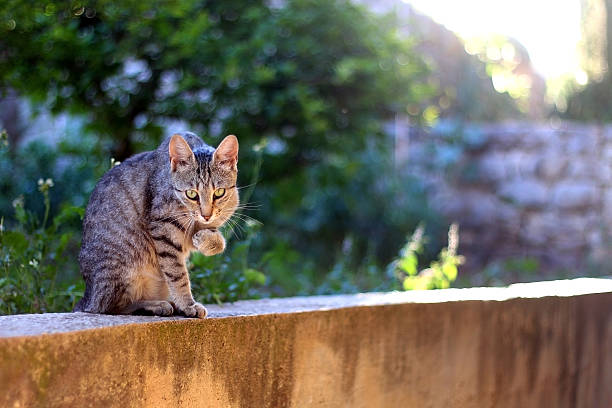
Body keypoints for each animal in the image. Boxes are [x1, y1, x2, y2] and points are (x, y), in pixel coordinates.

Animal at [74, 132, 239, 318]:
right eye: (191, 194)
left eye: (219, 192)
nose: (206, 215)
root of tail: (87, 296)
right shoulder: (164, 231)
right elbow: (177, 275)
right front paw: (188, 304)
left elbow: (217, 241)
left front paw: (206, 239)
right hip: (119, 268)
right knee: (110, 307)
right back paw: (156, 305)